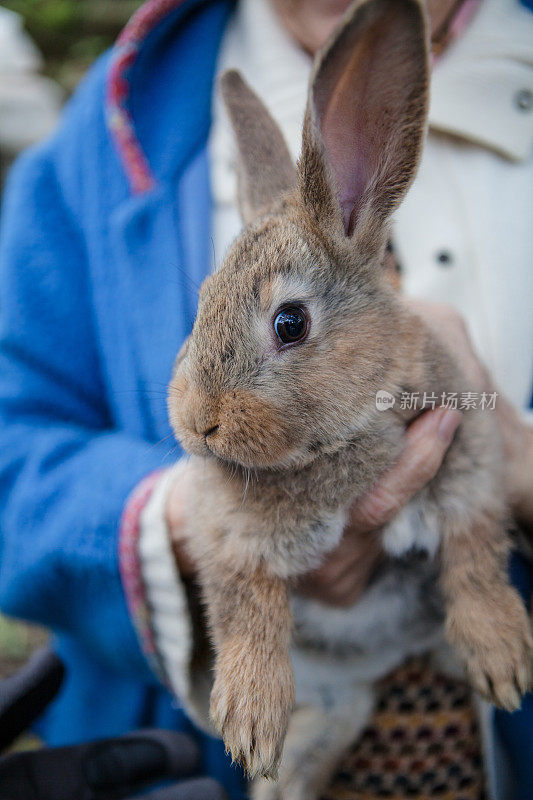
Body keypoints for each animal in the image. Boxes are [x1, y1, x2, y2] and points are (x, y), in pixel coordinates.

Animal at [167, 0, 532, 796]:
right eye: (201, 303)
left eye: (289, 323)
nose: (198, 422)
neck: (340, 440)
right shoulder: (221, 531)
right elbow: (244, 603)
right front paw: (249, 717)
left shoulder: (470, 460)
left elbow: (473, 552)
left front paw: (500, 656)